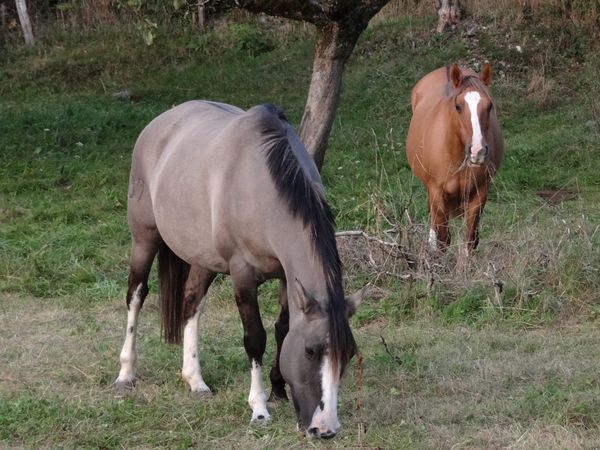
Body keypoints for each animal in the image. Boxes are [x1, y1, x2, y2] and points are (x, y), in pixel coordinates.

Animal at [116, 100, 360, 438]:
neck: (261, 187)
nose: (325, 429)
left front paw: (278, 390)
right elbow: (255, 337)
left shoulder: (286, 276)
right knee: (136, 295)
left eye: (348, 354)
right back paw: (126, 372)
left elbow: (282, 329)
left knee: (191, 303)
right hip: (144, 239)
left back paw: (195, 380)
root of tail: (159, 123)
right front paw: (259, 407)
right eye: (311, 351)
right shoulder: (242, 274)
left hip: (203, 258)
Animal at [406, 62, 504, 253]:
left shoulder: (480, 192)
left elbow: (470, 240)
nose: (478, 151)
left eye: (489, 105)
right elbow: (443, 240)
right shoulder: (436, 191)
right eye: (458, 106)